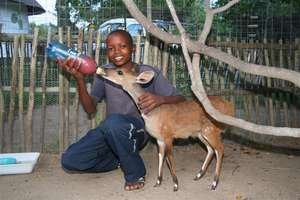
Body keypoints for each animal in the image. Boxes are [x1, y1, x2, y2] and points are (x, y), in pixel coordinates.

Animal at [96, 67, 234, 191]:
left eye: (120, 71)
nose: (103, 70)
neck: (153, 114)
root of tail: (230, 107)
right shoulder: (159, 139)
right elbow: (161, 156)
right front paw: (158, 182)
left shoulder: (168, 135)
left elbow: (170, 157)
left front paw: (176, 185)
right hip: (200, 133)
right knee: (211, 149)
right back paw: (198, 175)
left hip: (211, 129)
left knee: (220, 149)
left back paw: (214, 184)